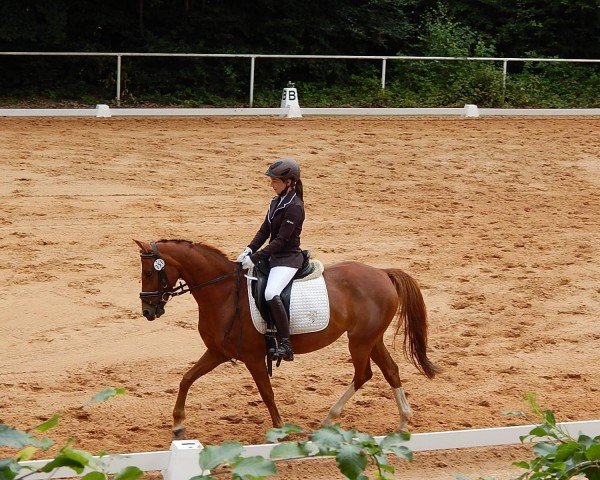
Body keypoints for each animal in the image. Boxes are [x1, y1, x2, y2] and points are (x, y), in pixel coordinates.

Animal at [135, 238, 436, 436]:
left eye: (149, 272)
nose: (148, 311)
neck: (224, 293)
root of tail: (383, 273)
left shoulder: (253, 357)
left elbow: (266, 393)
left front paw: (280, 430)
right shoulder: (218, 352)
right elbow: (186, 378)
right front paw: (178, 424)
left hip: (360, 341)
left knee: (364, 375)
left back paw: (329, 420)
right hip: (371, 339)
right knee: (391, 371)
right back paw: (402, 423)